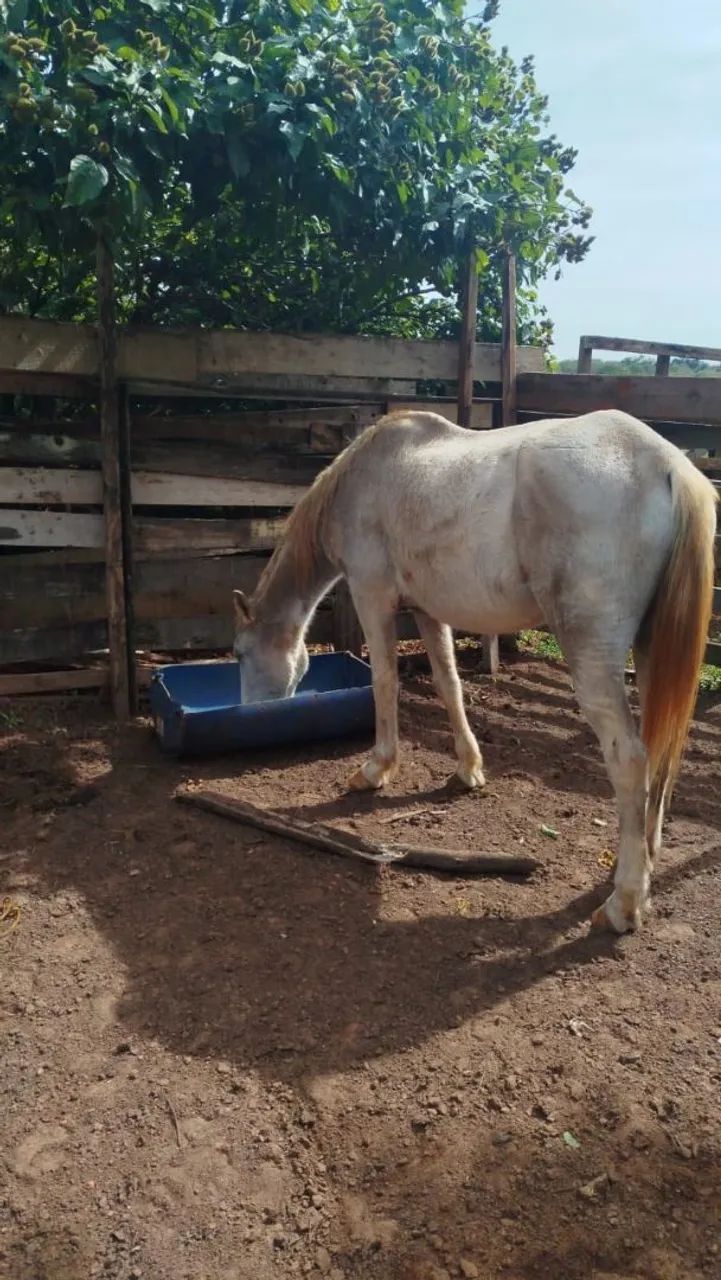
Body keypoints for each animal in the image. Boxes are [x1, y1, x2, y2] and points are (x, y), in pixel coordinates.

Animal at [231, 408, 717, 934]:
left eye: (239, 653)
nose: (248, 713)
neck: (367, 474)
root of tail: (667, 463)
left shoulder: (371, 596)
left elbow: (384, 682)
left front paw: (376, 769)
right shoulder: (426, 610)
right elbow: (449, 684)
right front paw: (468, 768)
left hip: (593, 653)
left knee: (629, 759)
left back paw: (623, 902)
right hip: (650, 651)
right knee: (660, 749)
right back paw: (643, 864)